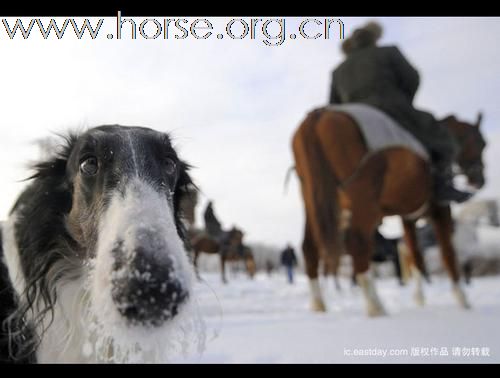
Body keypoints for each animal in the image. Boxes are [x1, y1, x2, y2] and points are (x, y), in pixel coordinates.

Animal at [292, 108, 484, 316]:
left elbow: (415, 254)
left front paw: (419, 299)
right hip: (363, 198)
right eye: (482, 143)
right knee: (357, 243)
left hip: (314, 200)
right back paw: (375, 305)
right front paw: (462, 299)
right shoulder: (440, 210)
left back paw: (319, 304)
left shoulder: (408, 218)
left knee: (310, 248)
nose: (480, 180)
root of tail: (319, 113)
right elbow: (448, 252)